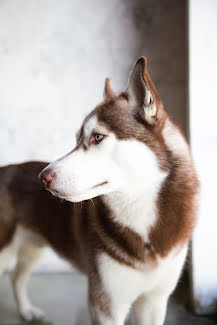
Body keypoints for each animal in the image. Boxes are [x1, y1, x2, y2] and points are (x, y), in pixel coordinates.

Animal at [0, 57, 198, 322]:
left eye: (97, 137)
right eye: (77, 139)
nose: (43, 178)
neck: (142, 218)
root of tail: (5, 168)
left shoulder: (154, 301)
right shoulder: (106, 304)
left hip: (34, 246)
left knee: (17, 276)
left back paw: (26, 311)